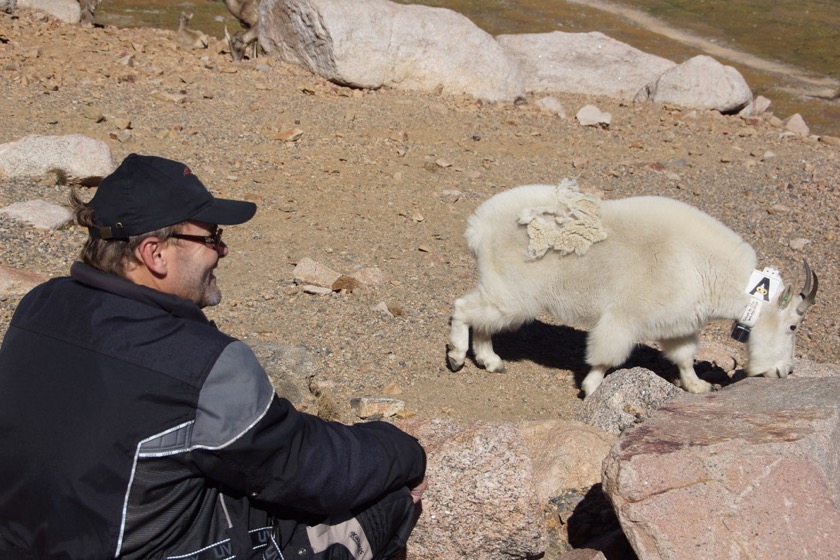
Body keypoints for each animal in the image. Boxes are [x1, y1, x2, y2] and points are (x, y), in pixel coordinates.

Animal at [450, 182, 816, 396]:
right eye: (792, 326)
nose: (784, 371)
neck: (703, 266)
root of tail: (477, 227)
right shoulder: (625, 316)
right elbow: (606, 354)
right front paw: (591, 387)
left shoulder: (678, 323)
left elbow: (684, 357)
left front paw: (699, 385)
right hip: (512, 293)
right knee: (463, 308)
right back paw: (456, 357)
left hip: (504, 293)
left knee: (483, 321)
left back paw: (491, 361)